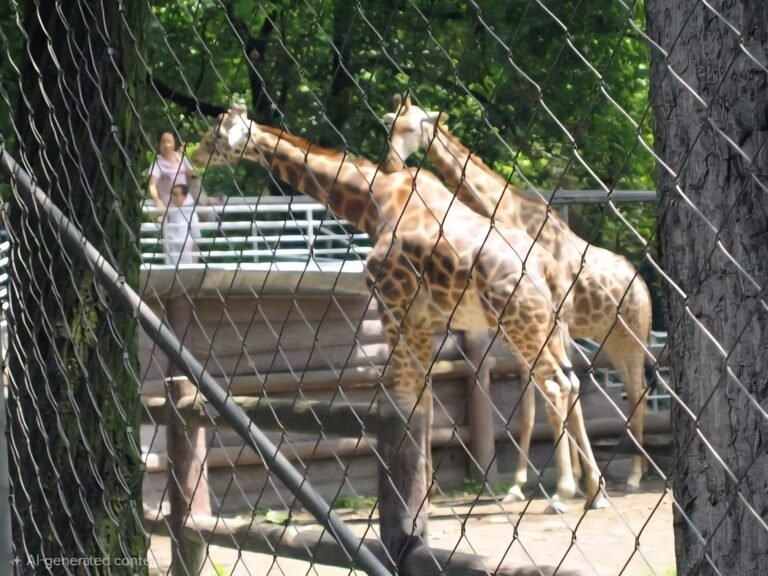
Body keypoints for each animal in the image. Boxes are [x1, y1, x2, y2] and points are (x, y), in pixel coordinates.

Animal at [193, 109, 609, 512]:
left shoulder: (392, 303)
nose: (194, 158)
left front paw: (410, 490)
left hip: (518, 322)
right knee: (571, 381)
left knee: (554, 384)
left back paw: (564, 491)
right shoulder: (424, 319)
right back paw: (593, 490)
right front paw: (426, 485)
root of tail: (548, 267)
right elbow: (424, 400)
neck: (373, 199)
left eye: (215, 136)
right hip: (543, 326)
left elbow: (405, 397)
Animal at [382, 95, 653, 500]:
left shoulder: (552, 318)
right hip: (612, 341)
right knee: (632, 390)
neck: (512, 216)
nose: (391, 164)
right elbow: (537, 397)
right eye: (390, 126)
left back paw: (635, 476)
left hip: (632, 335)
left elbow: (550, 393)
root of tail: (644, 287)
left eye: (414, 126)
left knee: (637, 392)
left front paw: (572, 485)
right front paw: (536, 482)